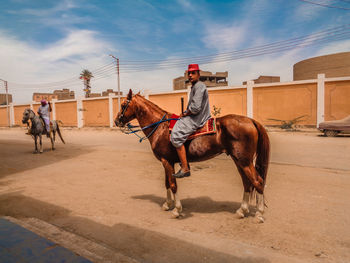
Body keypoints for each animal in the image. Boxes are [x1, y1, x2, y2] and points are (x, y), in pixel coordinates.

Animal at [115, 89, 270, 224]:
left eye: (123, 105)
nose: (117, 121)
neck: (160, 127)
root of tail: (251, 121)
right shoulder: (166, 161)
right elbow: (167, 183)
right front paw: (167, 204)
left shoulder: (167, 161)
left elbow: (173, 184)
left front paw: (177, 210)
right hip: (239, 160)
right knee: (247, 183)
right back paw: (242, 211)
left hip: (244, 161)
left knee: (257, 181)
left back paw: (259, 214)